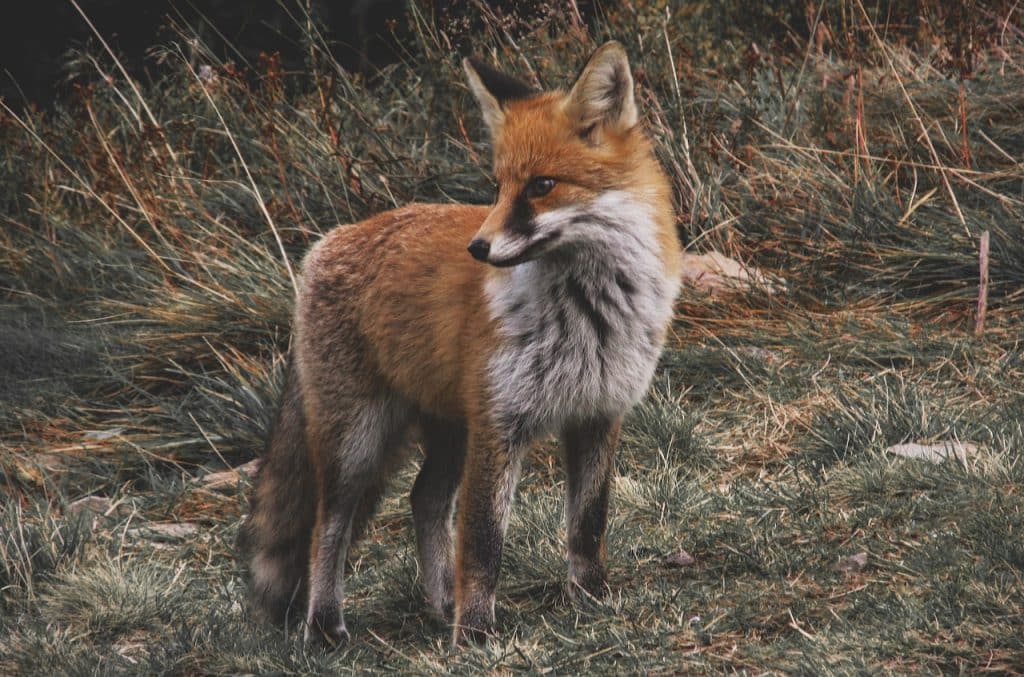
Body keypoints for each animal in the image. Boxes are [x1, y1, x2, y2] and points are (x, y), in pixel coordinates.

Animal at [239, 41, 683, 646]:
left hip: (450, 431)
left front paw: (591, 599)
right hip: (357, 441)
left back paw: (439, 602)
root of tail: (327, 243)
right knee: (326, 528)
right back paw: (327, 624)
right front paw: (473, 634)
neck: (587, 313)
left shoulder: (598, 413)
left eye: (541, 186)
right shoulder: (500, 425)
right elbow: (483, 541)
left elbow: (588, 525)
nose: (478, 247)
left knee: (423, 500)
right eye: (497, 186)